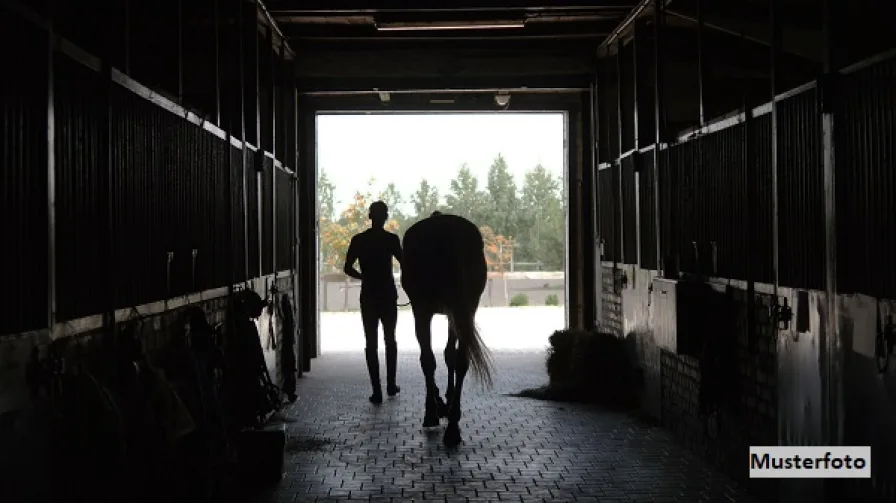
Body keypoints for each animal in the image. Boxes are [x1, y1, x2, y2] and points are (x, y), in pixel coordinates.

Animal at [402, 211, 494, 446]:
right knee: (460, 360)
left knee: (429, 360)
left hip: (427, 309)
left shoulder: (426, 310)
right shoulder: (456, 312)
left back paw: (442, 418)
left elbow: (436, 358)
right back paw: (452, 425)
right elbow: (450, 355)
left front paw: (435, 408)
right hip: (464, 308)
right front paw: (445, 403)